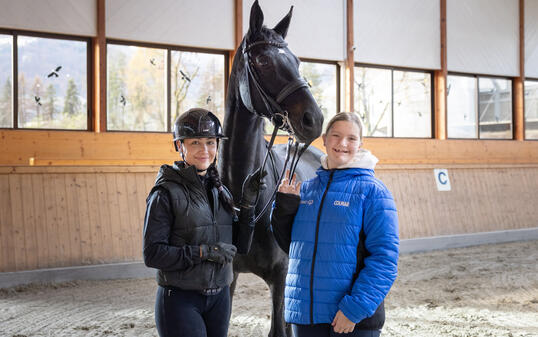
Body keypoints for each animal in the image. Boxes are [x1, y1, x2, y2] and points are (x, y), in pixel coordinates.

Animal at [218, 1, 322, 334]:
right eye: (263, 60)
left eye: (297, 61)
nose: (314, 119)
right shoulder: (228, 277)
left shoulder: (279, 275)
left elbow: (278, 328)